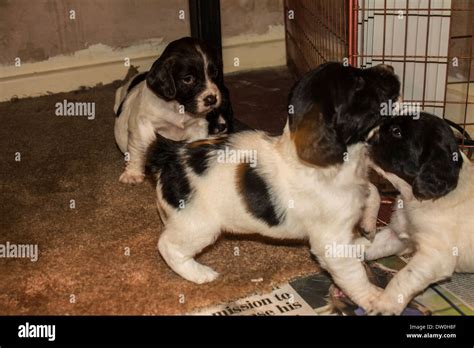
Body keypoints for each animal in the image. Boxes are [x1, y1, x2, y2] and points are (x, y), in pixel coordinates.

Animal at [115, 36, 233, 185]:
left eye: (215, 73)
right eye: (188, 79)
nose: (211, 99)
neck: (178, 107)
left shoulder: (198, 127)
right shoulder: (141, 126)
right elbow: (137, 150)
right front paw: (132, 174)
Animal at [147, 61, 400, 312]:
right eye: (357, 83)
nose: (389, 67)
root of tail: (172, 154)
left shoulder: (358, 187)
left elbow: (372, 191)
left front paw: (368, 226)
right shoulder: (332, 243)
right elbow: (354, 275)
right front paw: (376, 299)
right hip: (199, 225)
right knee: (167, 245)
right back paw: (199, 273)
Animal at [360, 113, 474, 314]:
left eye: (396, 131)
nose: (367, 135)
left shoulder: (435, 256)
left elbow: (403, 277)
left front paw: (384, 304)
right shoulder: (398, 236)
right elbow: (368, 245)